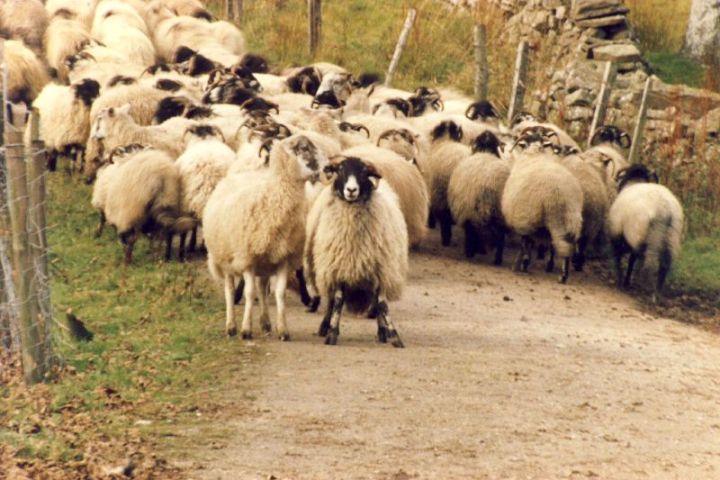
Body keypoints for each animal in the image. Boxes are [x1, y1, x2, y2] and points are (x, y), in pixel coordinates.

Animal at [203, 135, 327, 340]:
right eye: (304, 148)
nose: (328, 168)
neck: (273, 195)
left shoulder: (283, 257)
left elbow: (280, 294)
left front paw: (283, 330)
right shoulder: (247, 258)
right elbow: (248, 292)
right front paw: (246, 329)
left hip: (265, 260)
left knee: (262, 288)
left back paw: (265, 322)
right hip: (225, 258)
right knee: (230, 290)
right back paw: (231, 326)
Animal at [304, 156, 408, 347]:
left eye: (364, 172)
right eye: (340, 170)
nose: (351, 190)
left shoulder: (380, 268)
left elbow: (381, 303)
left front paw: (393, 334)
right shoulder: (338, 267)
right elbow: (338, 300)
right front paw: (332, 333)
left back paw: (382, 331)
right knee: (331, 300)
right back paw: (324, 326)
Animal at [447, 131, 510, 264]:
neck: (485, 151)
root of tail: (488, 184)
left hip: (469, 209)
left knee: (471, 230)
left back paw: (470, 252)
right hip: (500, 213)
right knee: (501, 236)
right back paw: (497, 260)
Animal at [500, 132, 584, 283]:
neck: (535, 153)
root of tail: (558, 193)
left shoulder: (524, 218)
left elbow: (525, 243)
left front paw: (522, 264)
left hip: (537, 216)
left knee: (553, 244)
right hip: (571, 218)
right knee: (566, 244)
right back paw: (563, 273)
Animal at [607, 164, 684, 302]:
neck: (634, 182)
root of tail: (665, 210)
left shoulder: (617, 234)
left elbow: (619, 257)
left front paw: (621, 281)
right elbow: (630, 260)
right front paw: (626, 281)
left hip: (645, 238)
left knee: (648, 264)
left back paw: (647, 291)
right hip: (670, 238)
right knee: (664, 266)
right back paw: (657, 293)